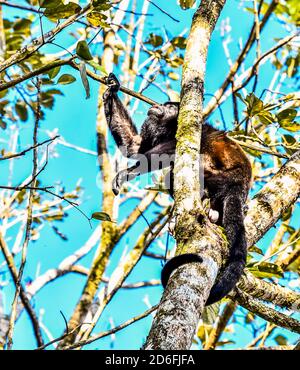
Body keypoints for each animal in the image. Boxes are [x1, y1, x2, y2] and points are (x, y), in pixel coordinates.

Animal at [102, 73, 252, 306]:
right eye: (163, 104)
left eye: (170, 106)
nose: (158, 106)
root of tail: (240, 185)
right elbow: (134, 146)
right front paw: (112, 88)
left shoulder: (189, 129)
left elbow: (170, 149)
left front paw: (127, 172)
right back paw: (213, 213)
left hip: (222, 177)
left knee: (186, 165)